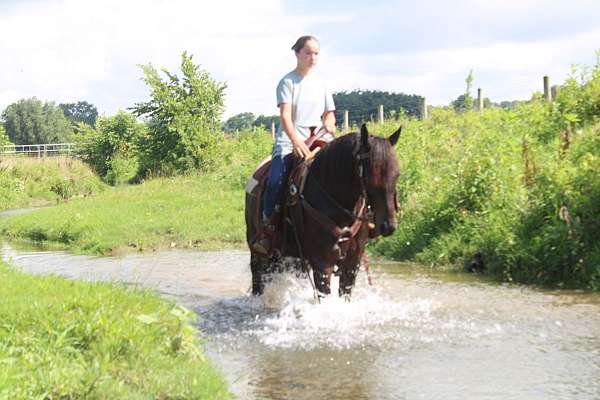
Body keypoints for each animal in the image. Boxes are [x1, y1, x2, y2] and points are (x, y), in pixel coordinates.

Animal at [246, 124, 400, 296]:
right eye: (371, 175)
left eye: (397, 174)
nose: (389, 225)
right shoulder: (323, 265)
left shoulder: (352, 264)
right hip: (258, 253)